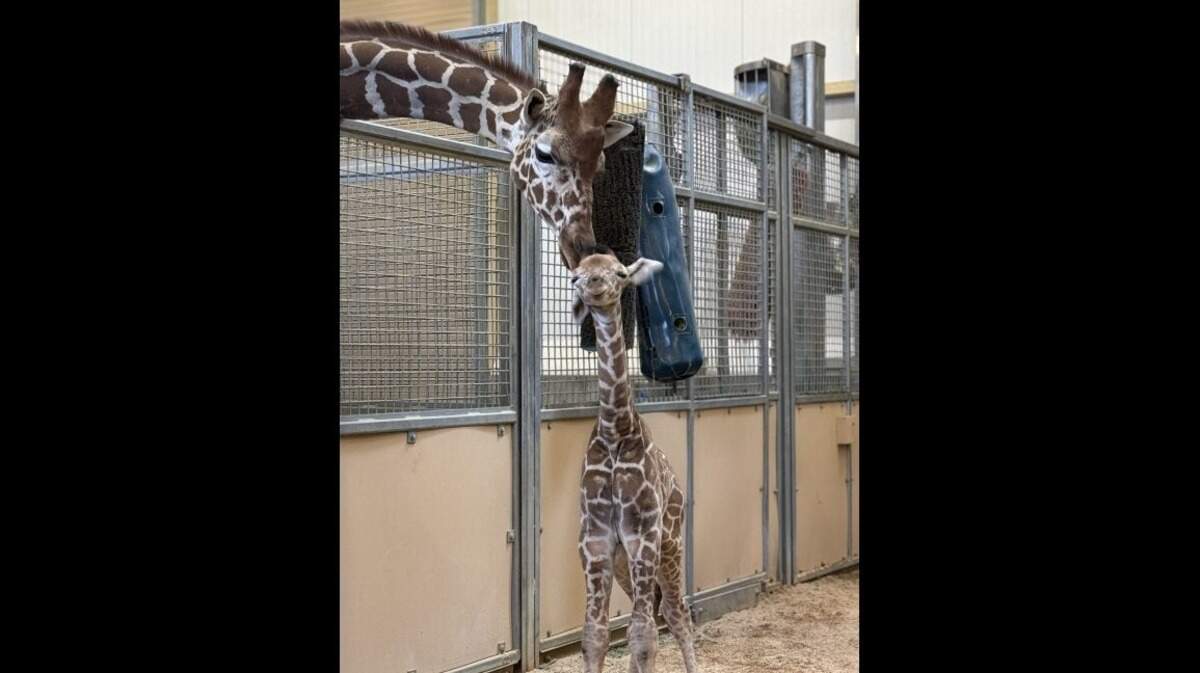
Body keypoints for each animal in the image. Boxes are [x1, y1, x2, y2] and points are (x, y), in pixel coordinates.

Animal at [569, 246, 698, 673]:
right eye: (575, 275)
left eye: (621, 273)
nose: (594, 284)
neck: (615, 431)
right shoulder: (595, 540)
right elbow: (595, 634)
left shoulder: (643, 537)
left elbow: (644, 634)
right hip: (627, 563)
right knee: (652, 614)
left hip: (670, 544)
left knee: (676, 612)